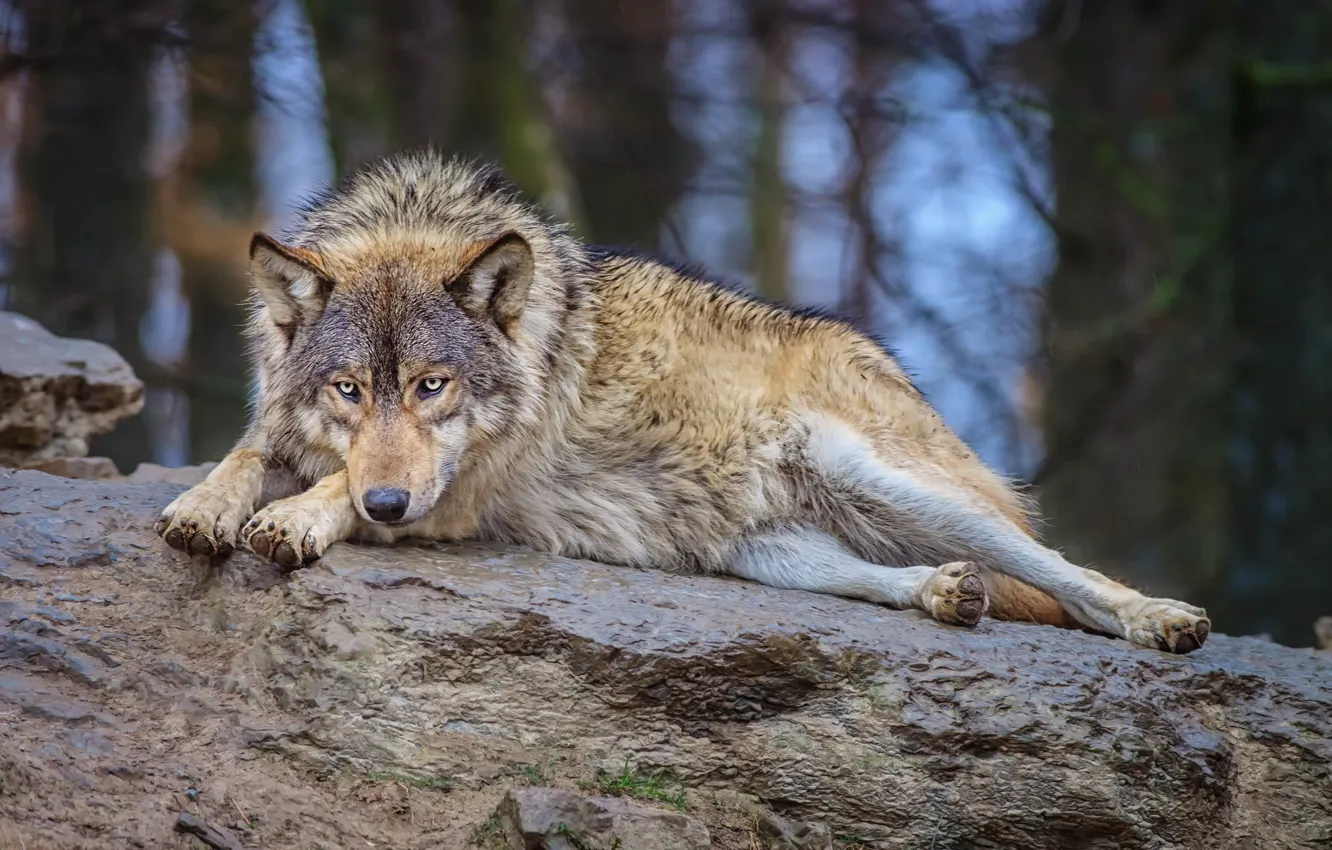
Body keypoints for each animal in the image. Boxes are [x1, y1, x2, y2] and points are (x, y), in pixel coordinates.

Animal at [155, 150, 1210, 654]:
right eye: (349, 388)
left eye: (431, 386)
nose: (386, 504)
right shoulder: (288, 429)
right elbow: (245, 456)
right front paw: (204, 507)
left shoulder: (452, 499)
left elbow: (331, 488)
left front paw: (296, 517)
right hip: (767, 555)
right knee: (905, 580)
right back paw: (945, 594)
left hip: (888, 481)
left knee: (1065, 573)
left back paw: (1158, 619)